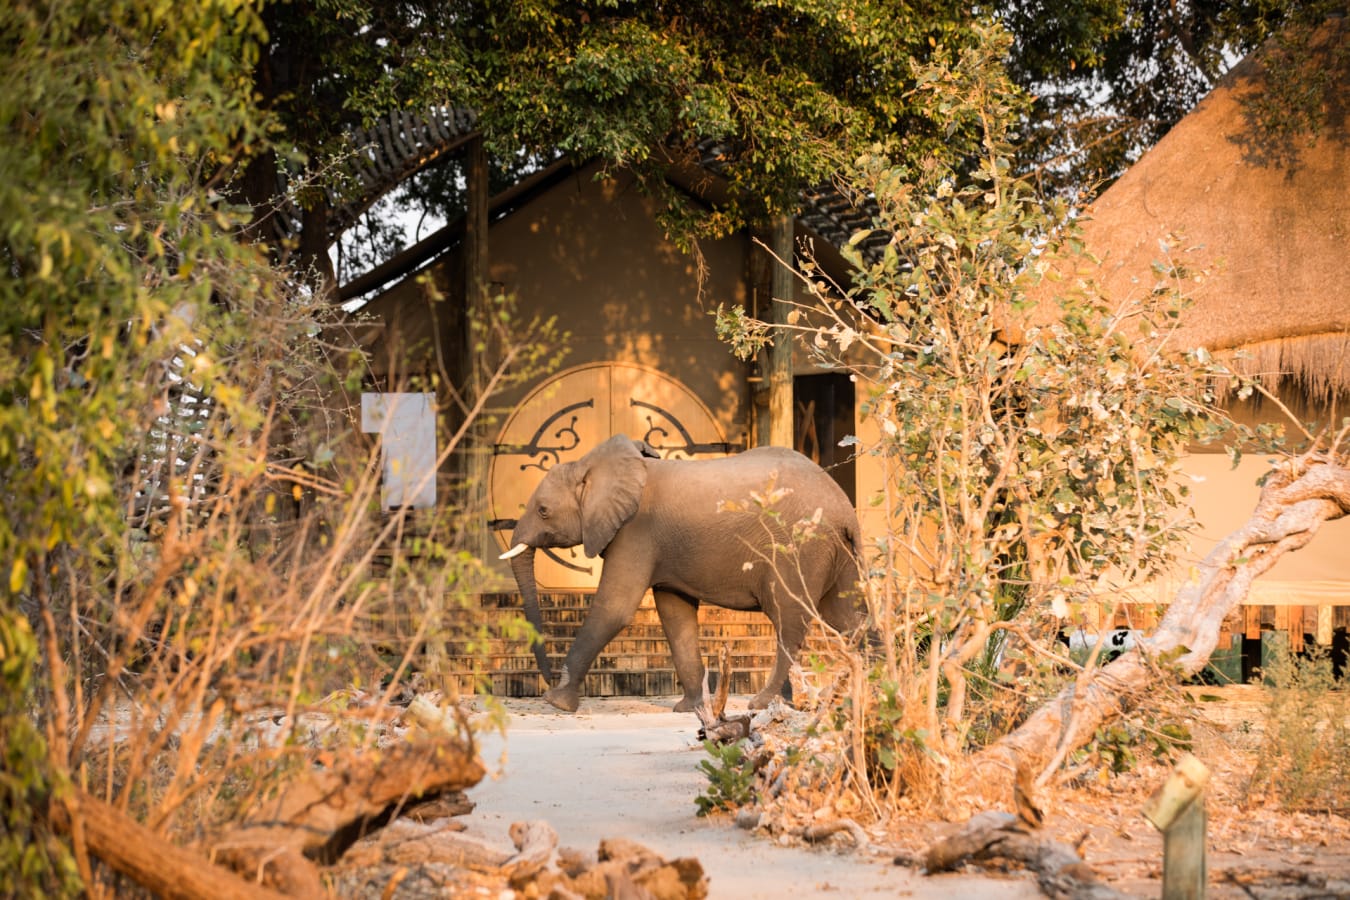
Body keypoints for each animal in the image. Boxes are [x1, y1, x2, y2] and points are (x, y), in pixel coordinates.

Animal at [499, 434, 863, 713]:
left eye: (543, 511)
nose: (546, 678)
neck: (592, 465)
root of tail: (846, 509)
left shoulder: (635, 531)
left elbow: (614, 609)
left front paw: (556, 702)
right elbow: (675, 614)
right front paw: (690, 709)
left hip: (799, 548)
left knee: (789, 621)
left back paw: (762, 703)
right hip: (835, 554)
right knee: (847, 619)